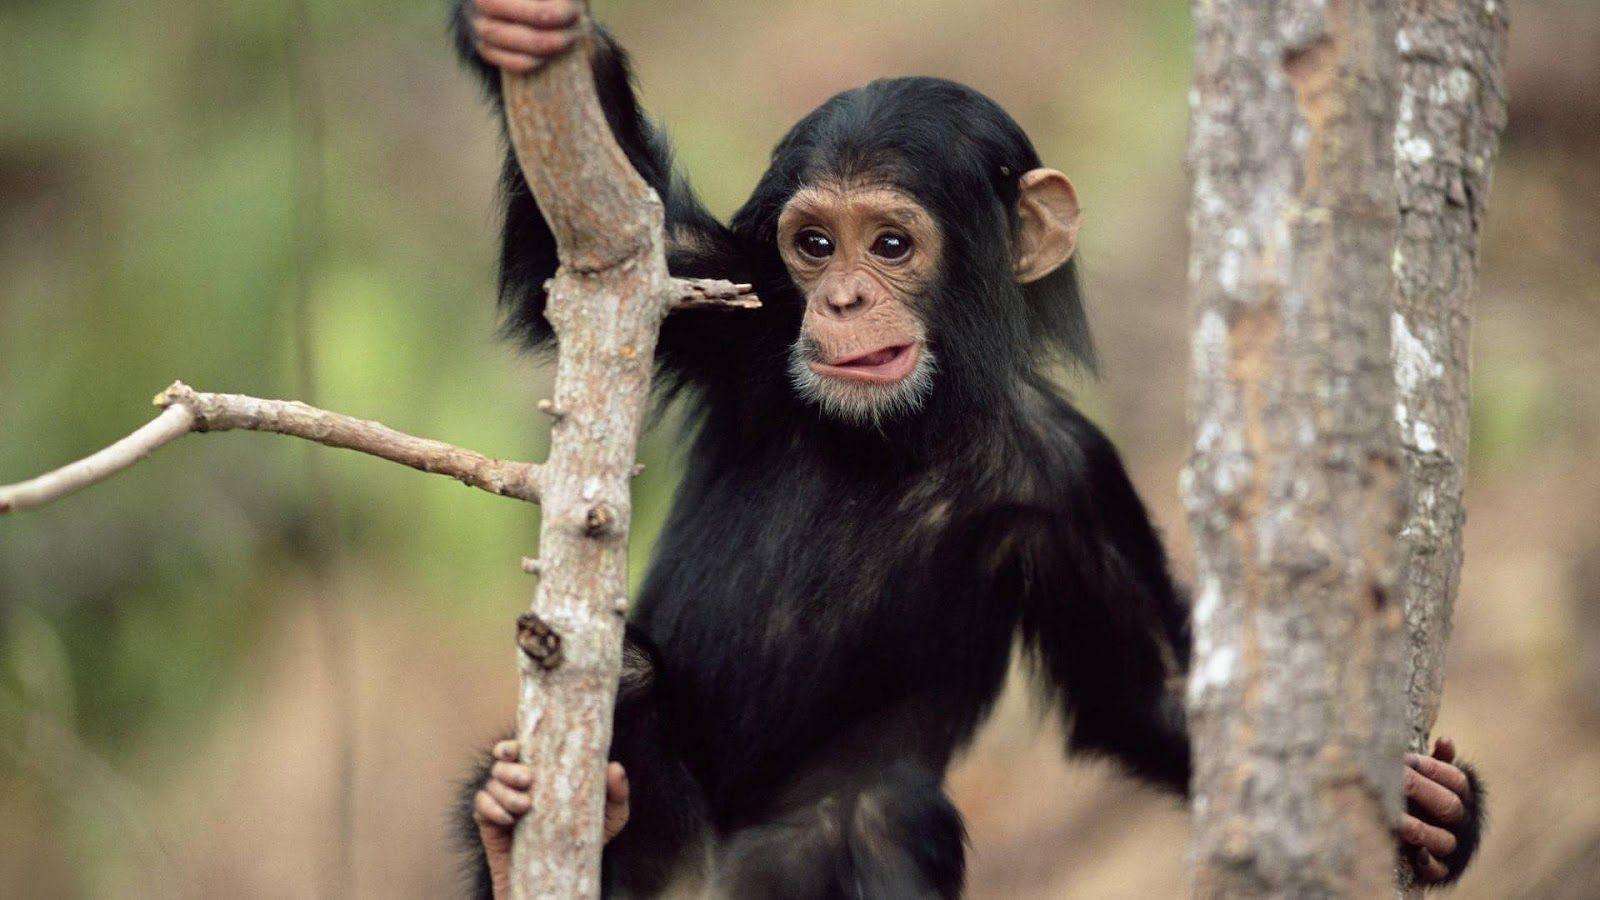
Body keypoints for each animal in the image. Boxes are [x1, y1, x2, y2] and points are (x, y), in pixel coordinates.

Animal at [450, 2, 1486, 896]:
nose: (842, 302)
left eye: (891, 244)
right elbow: (591, 249)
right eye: (814, 245)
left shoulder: (1073, 478)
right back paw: (523, 829)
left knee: (887, 812)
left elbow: (1149, 694)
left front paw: (1440, 813)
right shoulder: (735, 308)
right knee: (628, 678)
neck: (905, 429)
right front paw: (536, 37)